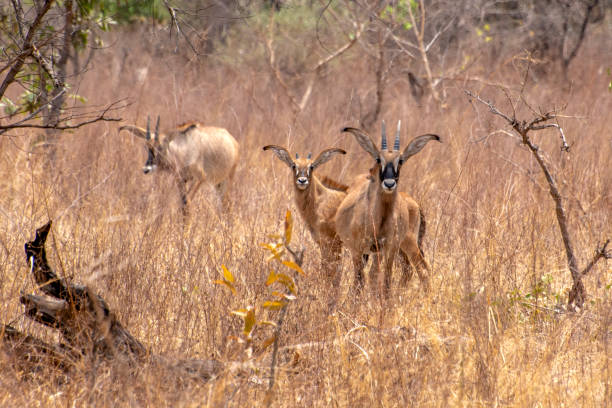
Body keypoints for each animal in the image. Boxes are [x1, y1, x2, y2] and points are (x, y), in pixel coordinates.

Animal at [262, 145, 350, 298]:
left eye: (312, 166)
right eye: (293, 165)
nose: (302, 181)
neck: (321, 201)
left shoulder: (333, 243)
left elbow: (332, 272)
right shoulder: (323, 243)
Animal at [334, 120, 440, 296]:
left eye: (401, 160)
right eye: (378, 159)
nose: (389, 183)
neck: (379, 219)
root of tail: (415, 204)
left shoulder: (390, 248)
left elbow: (386, 280)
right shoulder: (359, 249)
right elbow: (361, 281)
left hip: (406, 244)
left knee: (420, 269)